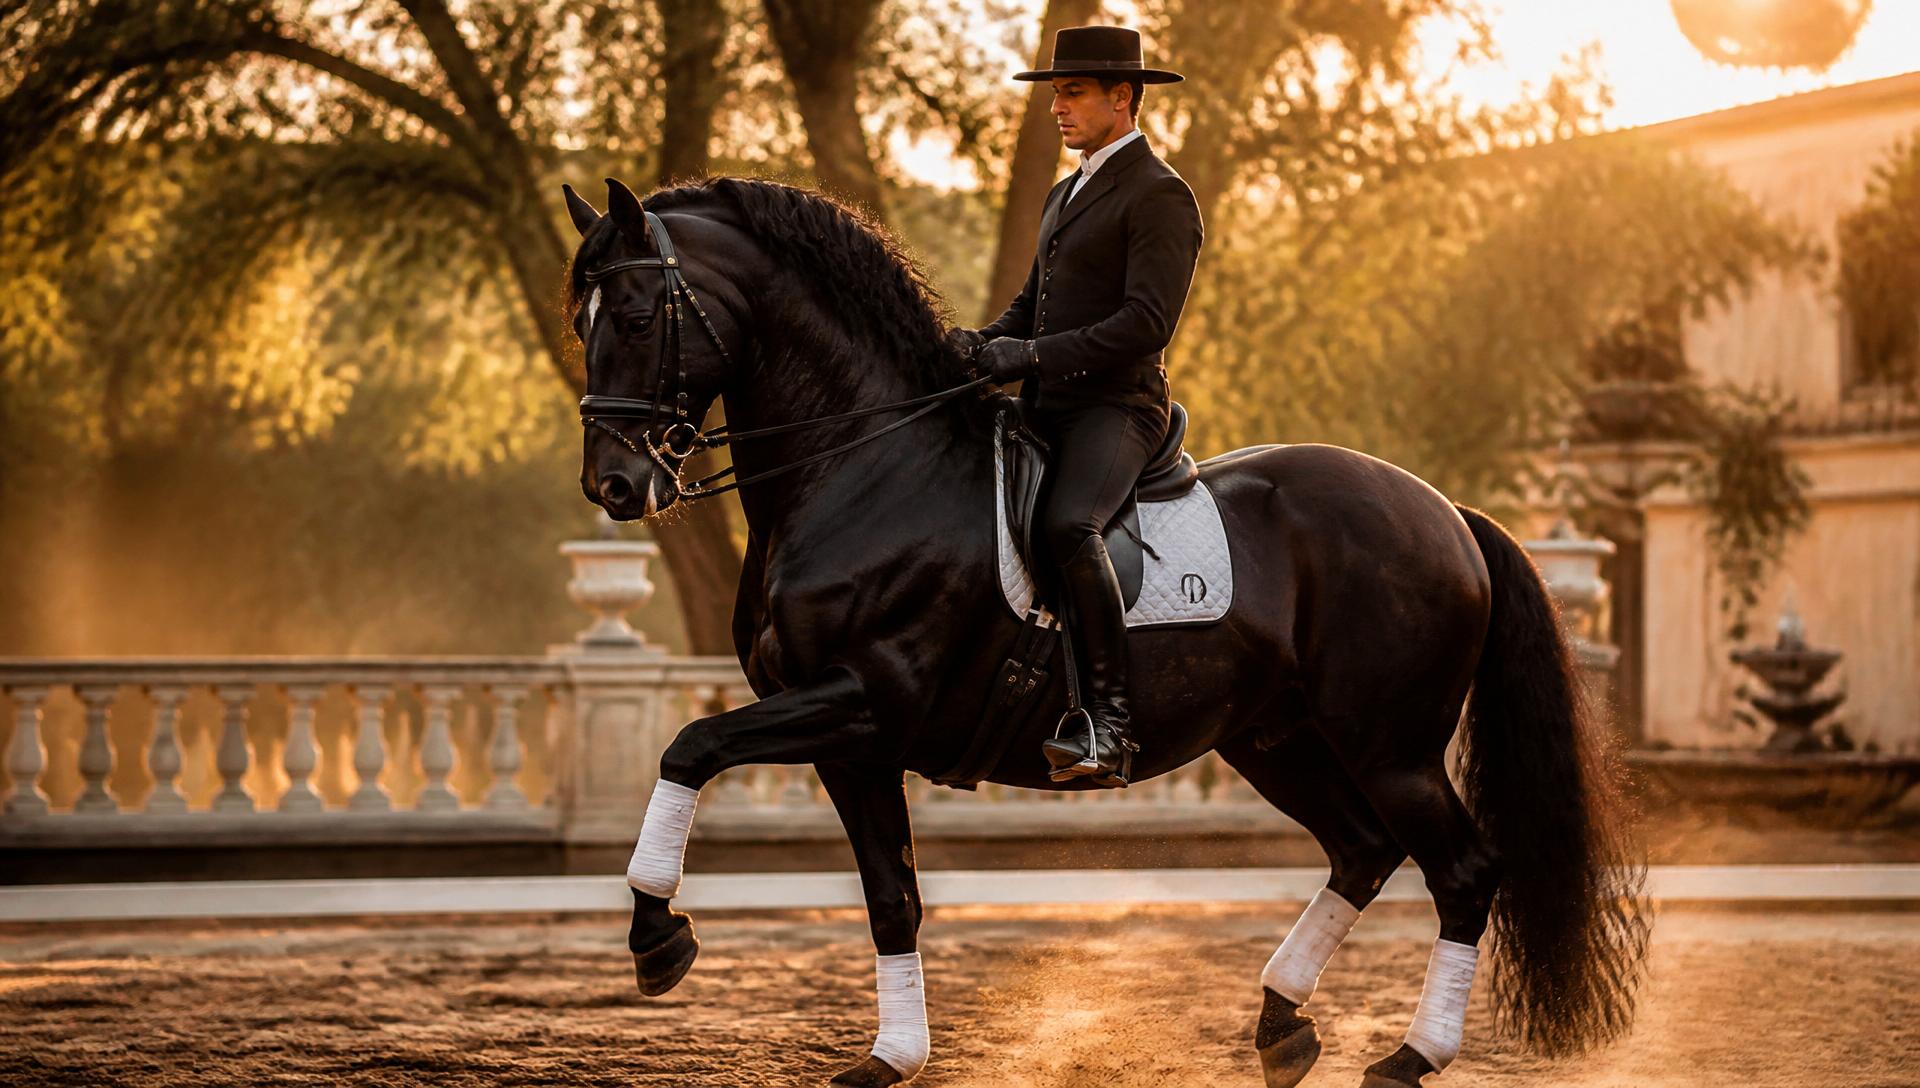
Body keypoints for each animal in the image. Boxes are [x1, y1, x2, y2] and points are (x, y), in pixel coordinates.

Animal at [558, 175, 1648, 1087]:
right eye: (582, 320)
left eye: (642, 314)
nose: (615, 484)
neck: (865, 466)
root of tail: (1447, 512)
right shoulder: (850, 739)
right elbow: (890, 893)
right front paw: (890, 1057)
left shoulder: (863, 699)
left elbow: (690, 743)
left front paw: (657, 937)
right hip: (1276, 737)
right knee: (1363, 851)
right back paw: (1280, 1024)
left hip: (1391, 744)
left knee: (1462, 872)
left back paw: (1409, 1056)